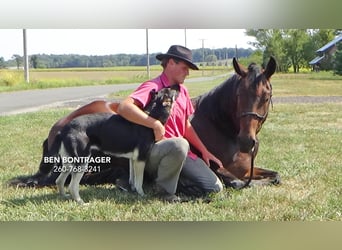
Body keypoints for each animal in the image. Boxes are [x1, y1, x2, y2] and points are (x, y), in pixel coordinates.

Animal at [8, 57, 280, 196]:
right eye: (239, 95)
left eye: (266, 95)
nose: (247, 141)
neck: (219, 127)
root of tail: (61, 127)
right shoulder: (221, 170)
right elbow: (235, 183)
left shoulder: (246, 169)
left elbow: (275, 176)